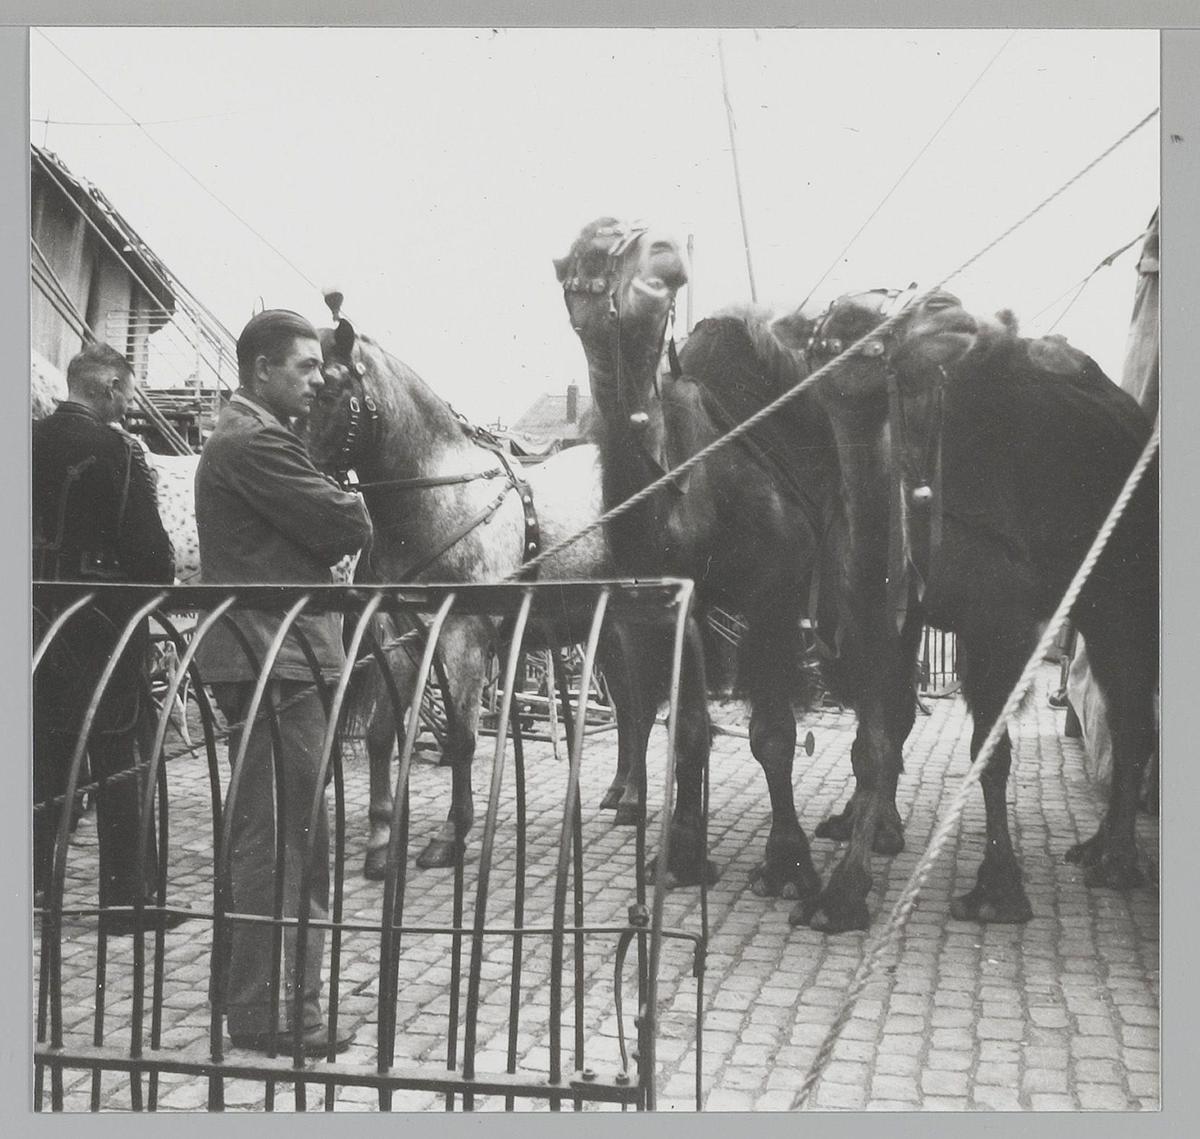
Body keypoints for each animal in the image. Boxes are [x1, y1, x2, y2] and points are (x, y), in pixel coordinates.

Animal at [303, 307, 654, 876]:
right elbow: (381, 735)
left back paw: (637, 802)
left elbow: (465, 738)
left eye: (331, 390)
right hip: (603, 630)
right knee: (628, 703)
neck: (439, 499)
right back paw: (622, 794)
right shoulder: (399, 638)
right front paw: (381, 838)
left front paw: (451, 835)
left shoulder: (463, 639)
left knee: (645, 705)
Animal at [798, 289, 1158, 929]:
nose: (944, 304)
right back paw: (1095, 848)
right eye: (851, 318)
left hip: (1122, 586)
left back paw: (1115, 862)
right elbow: (876, 743)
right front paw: (842, 893)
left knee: (1131, 712)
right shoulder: (878, 620)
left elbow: (989, 752)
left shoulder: (998, 621)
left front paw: (997, 892)